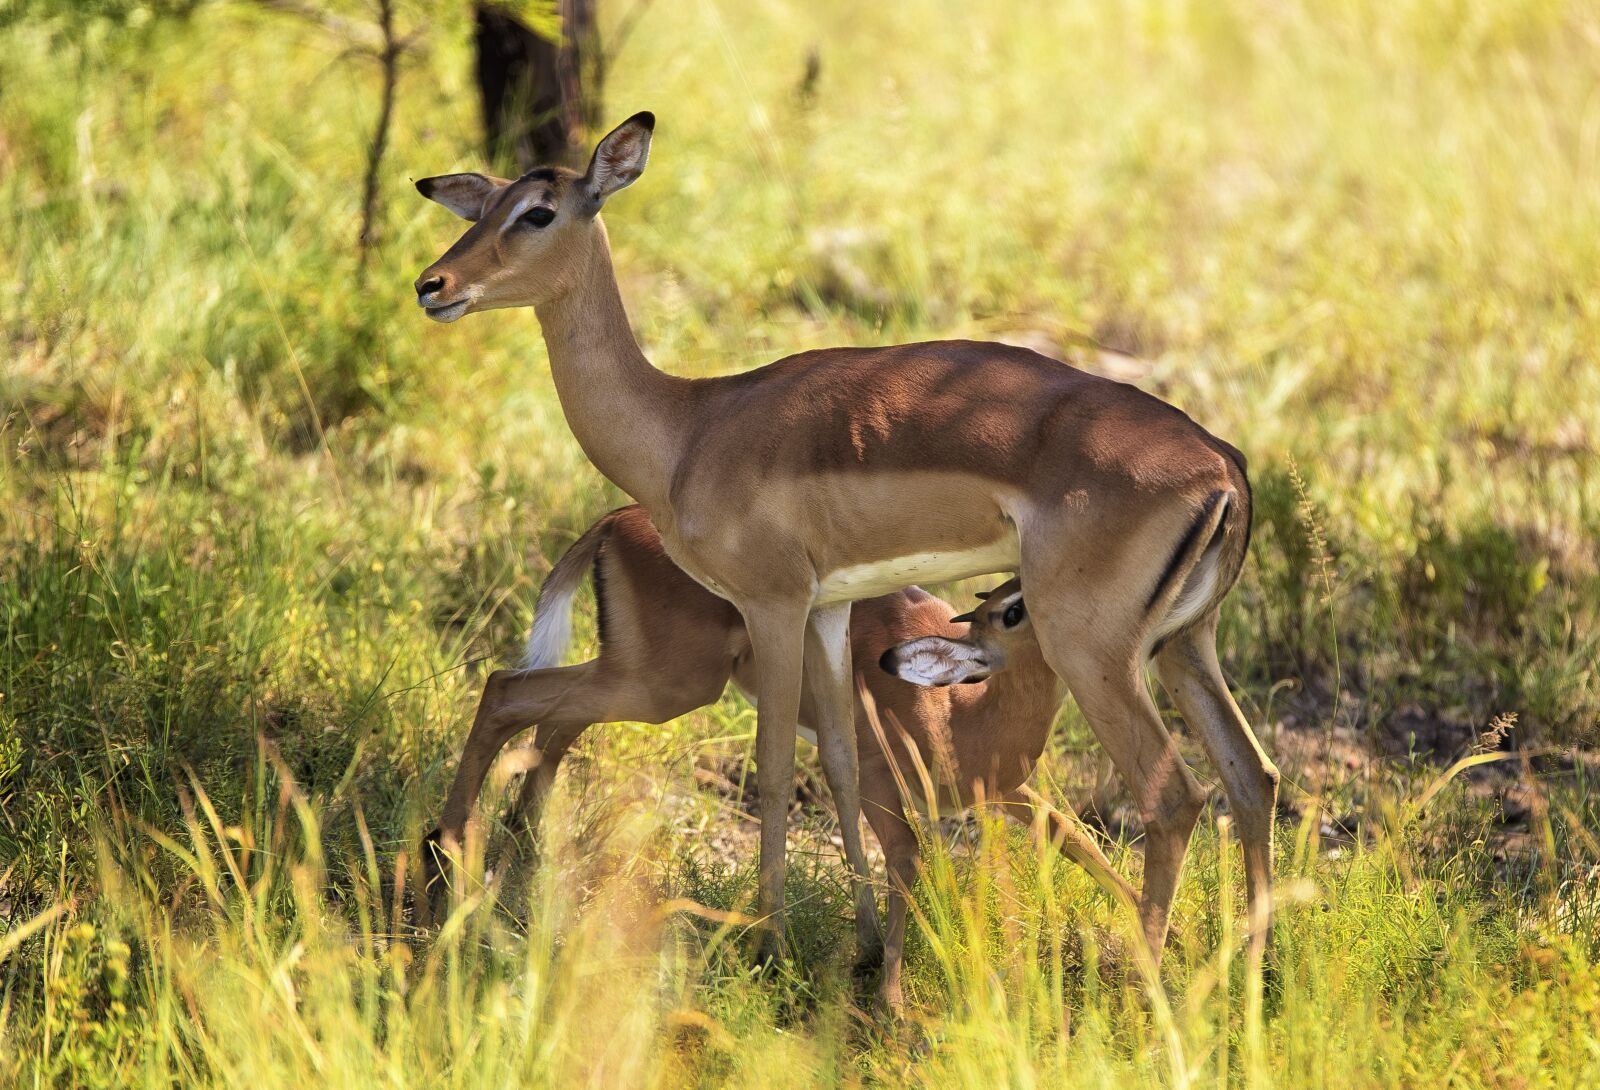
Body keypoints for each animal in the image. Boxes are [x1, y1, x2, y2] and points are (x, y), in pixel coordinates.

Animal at [428, 503, 1137, 1010]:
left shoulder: (1009, 792)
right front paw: (890, 996)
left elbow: (1078, 838)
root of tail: (616, 520)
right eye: (1013, 609)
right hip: (661, 685)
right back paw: (448, 855)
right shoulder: (879, 779)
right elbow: (907, 857)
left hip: (643, 681)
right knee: (505, 689)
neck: (961, 716)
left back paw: (518, 847)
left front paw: (1156, 939)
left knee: (550, 721)